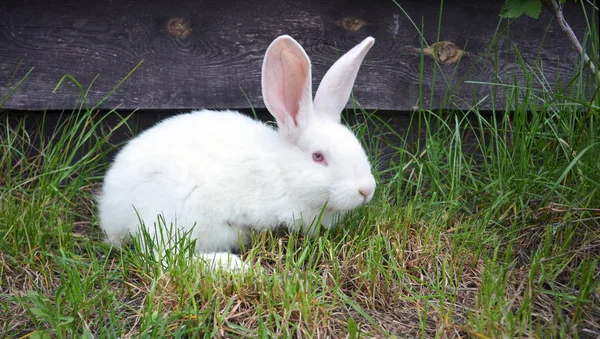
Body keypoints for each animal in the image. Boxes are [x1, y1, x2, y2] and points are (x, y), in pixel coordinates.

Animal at [101, 35, 378, 270]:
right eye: (318, 157)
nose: (366, 190)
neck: (282, 171)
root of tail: (109, 209)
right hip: (172, 215)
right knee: (165, 257)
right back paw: (237, 267)